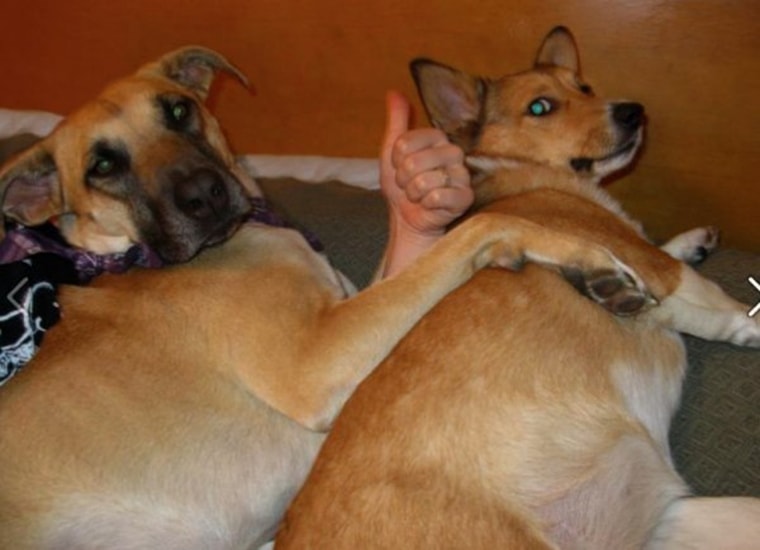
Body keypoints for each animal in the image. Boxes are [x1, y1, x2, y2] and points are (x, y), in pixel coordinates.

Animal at [0, 48, 652, 550]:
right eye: (102, 166)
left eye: (178, 110)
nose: (206, 197)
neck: (129, 253)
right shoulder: (314, 363)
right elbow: (485, 227)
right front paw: (589, 257)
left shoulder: (351, 306)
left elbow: (442, 249)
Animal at [278, 27, 760, 550]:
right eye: (540, 107)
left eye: (584, 87)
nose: (633, 111)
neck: (515, 173)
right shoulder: (659, 270)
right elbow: (726, 308)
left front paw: (692, 242)